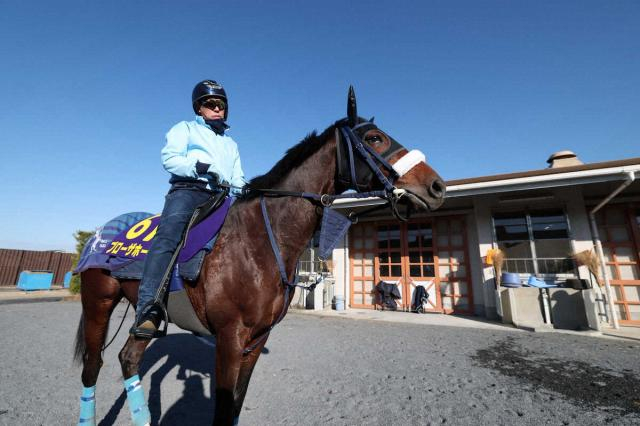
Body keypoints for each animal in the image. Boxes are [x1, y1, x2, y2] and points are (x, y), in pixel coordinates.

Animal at [74, 87, 444, 426]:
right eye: (374, 138)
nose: (437, 186)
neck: (260, 242)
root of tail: (98, 234)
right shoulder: (230, 337)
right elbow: (223, 410)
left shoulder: (256, 340)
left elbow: (235, 407)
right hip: (98, 303)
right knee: (92, 367)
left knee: (128, 358)